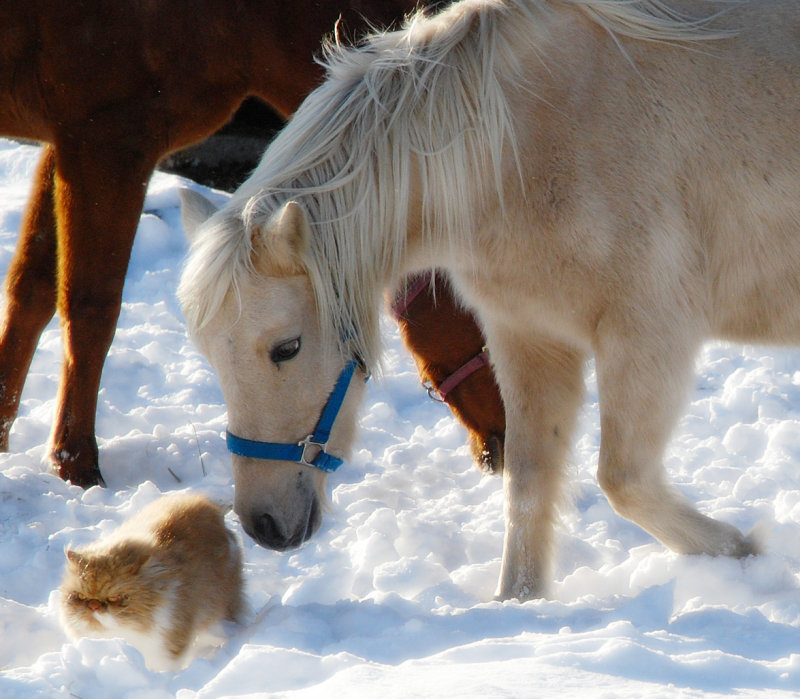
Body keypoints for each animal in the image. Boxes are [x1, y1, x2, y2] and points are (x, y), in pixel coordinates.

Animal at [0, 0, 500, 486]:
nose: (504, 439)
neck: (232, 20)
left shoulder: (67, 144)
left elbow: (33, 291)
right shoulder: (104, 140)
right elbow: (91, 308)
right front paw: (76, 465)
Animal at [178, 0, 792, 600]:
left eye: (287, 348)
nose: (262, 526)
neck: (518, 151)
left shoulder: (647, 333)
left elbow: (623, 481)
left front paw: (745, 551)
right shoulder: (528, 336)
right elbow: (530, 483)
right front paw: (518, 607)